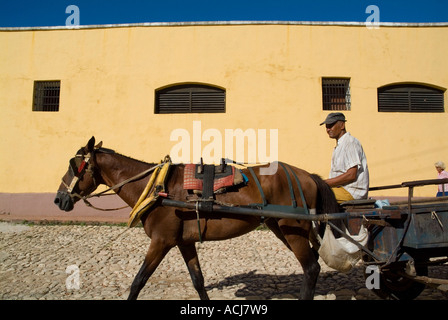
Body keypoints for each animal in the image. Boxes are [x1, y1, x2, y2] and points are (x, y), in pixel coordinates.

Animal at [54, 137, 338, 300]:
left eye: (73, 165)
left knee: (311, 268)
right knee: (313, 262)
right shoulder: (183, 242)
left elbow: (138, 282)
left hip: (292, 229)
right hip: (281, 227)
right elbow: (198, 281)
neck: (157, 187)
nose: (59, 200)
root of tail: (308, 175)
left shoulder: (161, 242)